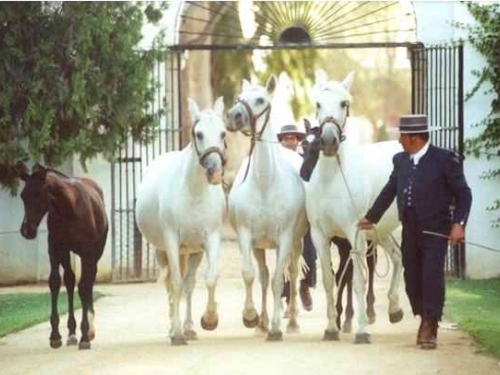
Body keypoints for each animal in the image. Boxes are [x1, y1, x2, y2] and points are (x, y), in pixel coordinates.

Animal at [18, 163, 107, 352]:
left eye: (38, 193)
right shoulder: (55, 249)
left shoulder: (87, 252)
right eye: (22, 196)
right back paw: (72, 333)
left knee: (88, 282)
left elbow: (84, 286)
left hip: (95, 253)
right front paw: (55, 336)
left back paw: (89, 330)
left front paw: (85, 336)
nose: (27, 230)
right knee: (71, 280)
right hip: (66, 254)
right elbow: (55, 283)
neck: (69, 208)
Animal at [135, 97, 225, 346]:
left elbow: (209, 279)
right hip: (163, 251)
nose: (215, 172)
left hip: (193, 252)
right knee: (171, 286)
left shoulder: (211, 239)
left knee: (189, 285)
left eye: (223, 133)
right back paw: (173, 329)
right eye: (199, 134)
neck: (193, 192)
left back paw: (189, 328)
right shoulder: (172, 241)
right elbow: (175, 283)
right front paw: (176, 334)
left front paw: (209, 320)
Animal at [227, 75, 308, 340]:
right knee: (262, 277)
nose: (233, 116)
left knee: (291, 273)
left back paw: (291, 322)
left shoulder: (285, 238)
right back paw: (261, 322)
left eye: (261, 99)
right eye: (239, 98)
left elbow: (277, 281)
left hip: (297, 242)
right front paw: (251, 317)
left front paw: (275, 327)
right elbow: (251, 275)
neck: (265, 184)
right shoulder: (246, 237)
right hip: (260, 246)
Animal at [308, 72, 406, 346]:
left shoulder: (355, 234)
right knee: (397, 256)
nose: (328, 141)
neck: (333, 180)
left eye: (344, 103)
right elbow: (329, 281)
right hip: (380, 232)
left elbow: (359, 281)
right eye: (318, 103)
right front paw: (331, 328)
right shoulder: (320, 236)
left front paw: (362, 331)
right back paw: (394, 309)